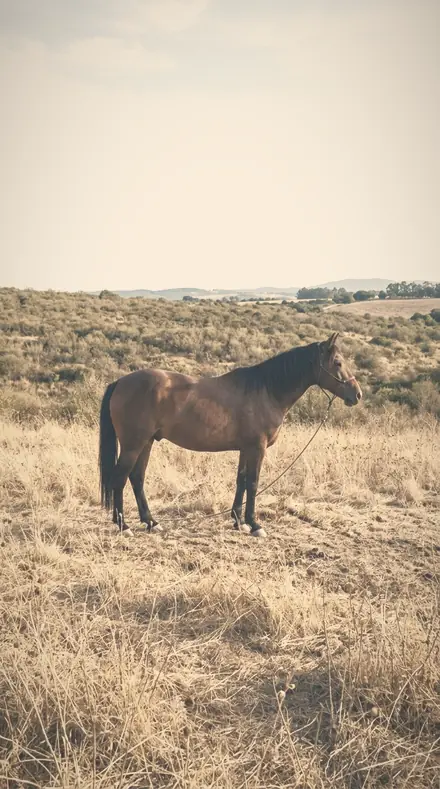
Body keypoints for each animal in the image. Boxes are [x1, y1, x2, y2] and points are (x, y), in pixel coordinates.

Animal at [99, 332, 362, 538]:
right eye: (337, 362)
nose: (357, 394)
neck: (267, 390)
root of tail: (120, 382)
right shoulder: (257, 448)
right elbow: (253, 483)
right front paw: (255, 525)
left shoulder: (246, 448)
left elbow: (241, 481)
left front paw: (238, 521)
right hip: (133, 445)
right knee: (119, 478)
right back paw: (124, 526)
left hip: (147, 443)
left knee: (137, 478)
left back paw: (151, 522)